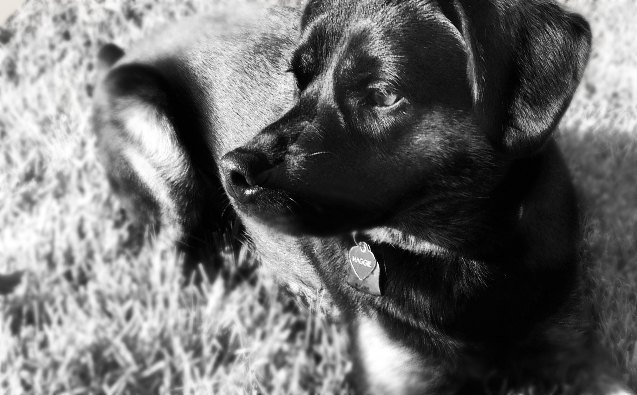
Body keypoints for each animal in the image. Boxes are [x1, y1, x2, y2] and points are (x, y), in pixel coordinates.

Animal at [90, 1, 632, 394]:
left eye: (385, 94)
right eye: (299, 79)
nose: (234, 169)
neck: (462, 253)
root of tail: (123, 55)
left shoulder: (576, 350)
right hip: (155, 136)